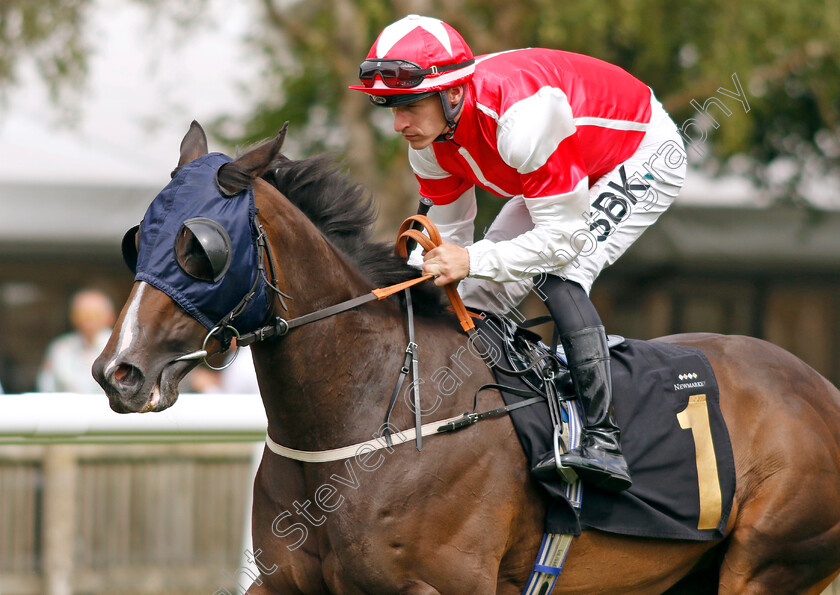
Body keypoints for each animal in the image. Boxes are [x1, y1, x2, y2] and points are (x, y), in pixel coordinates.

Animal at [92, 123, 840, 592]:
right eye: (139, 237)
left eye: (200, 249)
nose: (117, 371)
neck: (372, 413)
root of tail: (821, 389)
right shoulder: (286, 584)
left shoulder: (443, 583)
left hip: (769, 564)